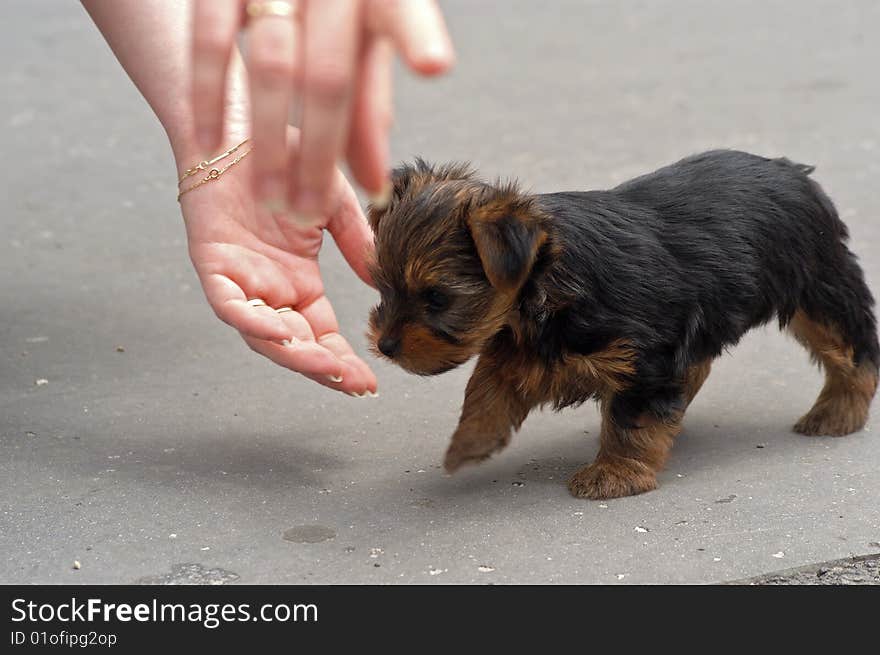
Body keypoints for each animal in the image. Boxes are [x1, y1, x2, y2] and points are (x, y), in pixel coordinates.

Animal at [364, 151, 872, 500]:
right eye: (383, 287)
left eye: (437, 298)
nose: (385, 345)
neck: (547, 282)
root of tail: (791, 171)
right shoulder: (518, 348)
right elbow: (485, 389)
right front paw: (468, 444)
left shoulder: (645, 357)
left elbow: (632, 417)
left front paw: (616, 473)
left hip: (819, 285)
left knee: (854, 348)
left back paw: (837, 413)